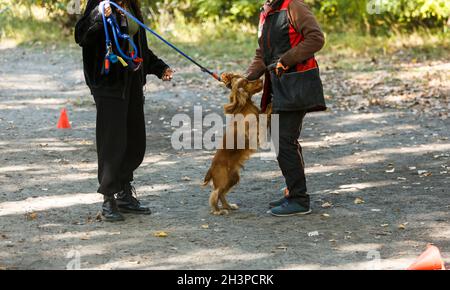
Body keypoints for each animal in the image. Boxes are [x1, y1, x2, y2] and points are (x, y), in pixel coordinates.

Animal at [204, 73, 268, 215]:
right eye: (246, 82)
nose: (262, 79)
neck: (244, 106)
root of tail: (211, 169)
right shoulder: (254, 128)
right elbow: (267, 112)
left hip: (233, 178)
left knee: (221, 194)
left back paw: (228, 206)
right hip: (223, 179)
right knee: (214, 194)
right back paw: (218, 211)